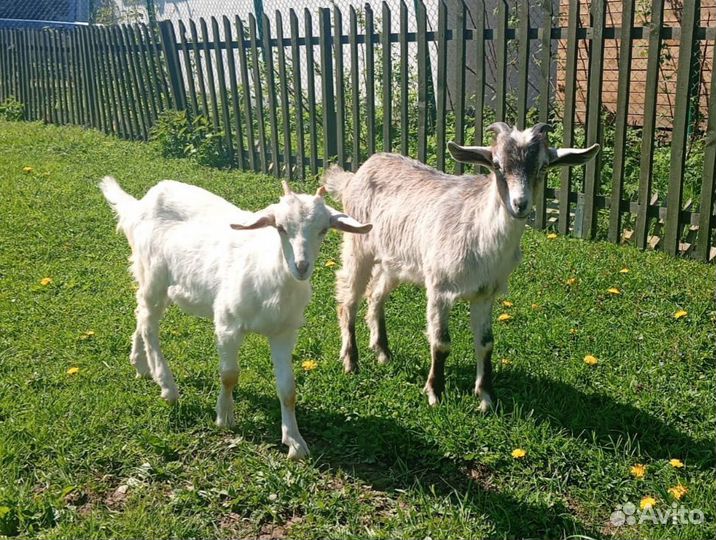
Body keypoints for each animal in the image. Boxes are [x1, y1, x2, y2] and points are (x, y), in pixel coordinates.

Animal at [100, 178, 371, 459]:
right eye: (281, 228)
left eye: (323, 230)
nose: (301, 266)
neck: (268, 270)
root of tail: (141, 205)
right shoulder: (227, 324)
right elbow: (229, 375)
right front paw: (225, 417)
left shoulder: (284, 333)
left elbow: (288, 390)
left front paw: (295, 442)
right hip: (154, 276)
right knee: (149, 325)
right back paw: (167, 386)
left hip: (154, 281)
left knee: (140, 315)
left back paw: (140, 364)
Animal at [323, 122, 599, 410]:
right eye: (497, 165)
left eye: (543, 166)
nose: (520, 204)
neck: (480, 234)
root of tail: (357, 174)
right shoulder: (439, 289)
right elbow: (441, 342)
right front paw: (435, 392)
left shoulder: (485, 294)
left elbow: (486, 343)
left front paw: (486, 398)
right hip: (358, 246)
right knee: (348, 299)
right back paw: (351, 361)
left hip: (394, 261)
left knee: (375, 295)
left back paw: (383, 352)